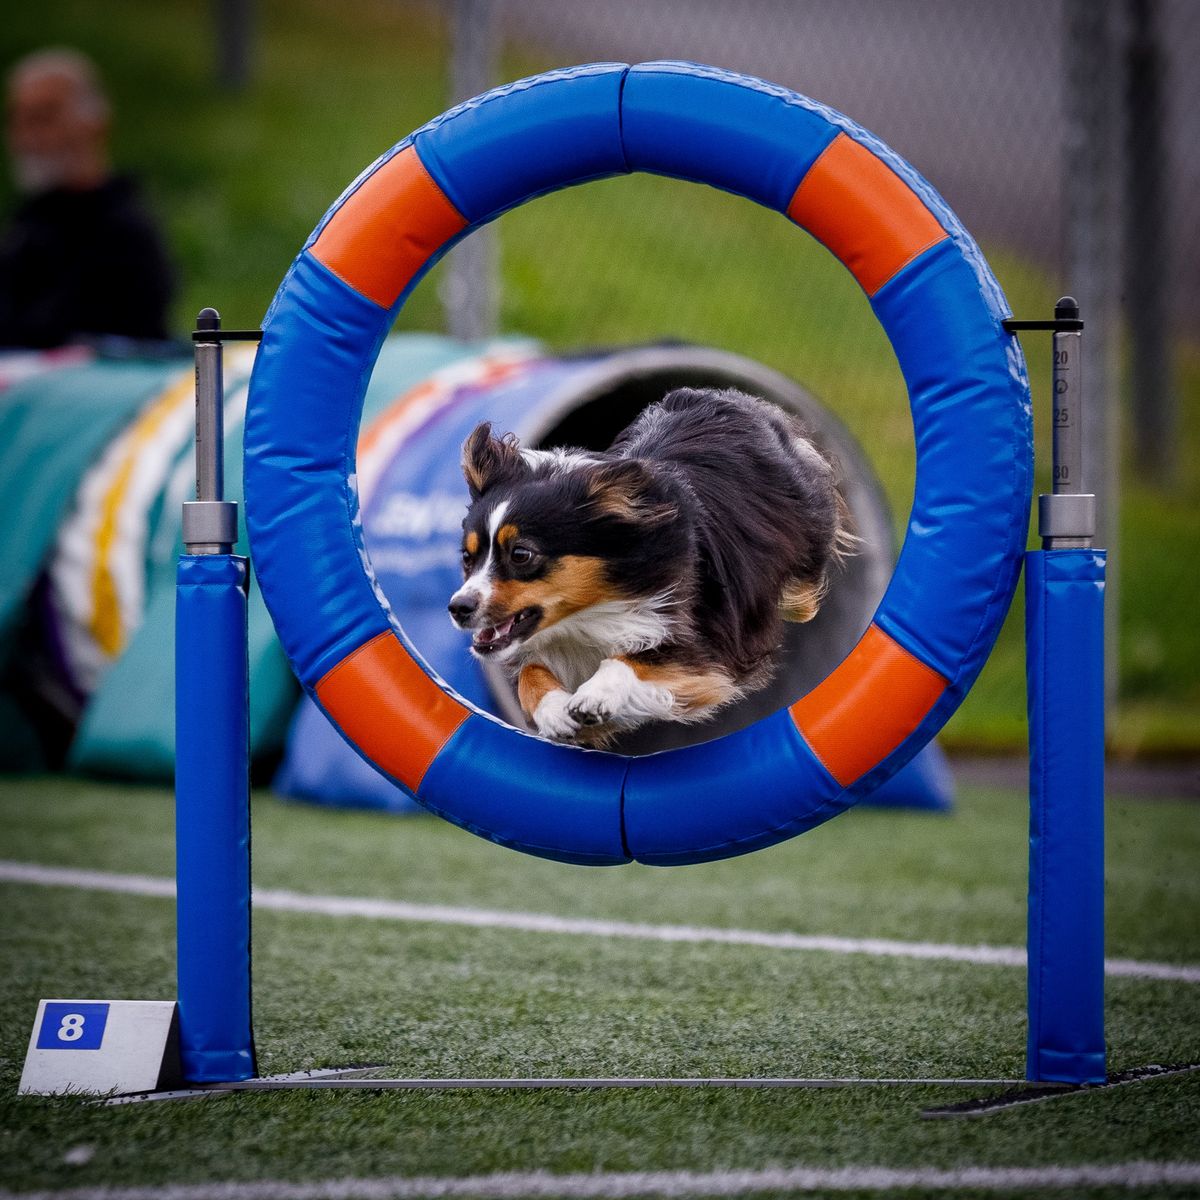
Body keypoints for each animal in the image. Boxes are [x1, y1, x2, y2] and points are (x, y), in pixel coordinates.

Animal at [451, 388, 854, 744]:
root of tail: (727, 398)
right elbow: (530, 674)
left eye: (521, 555)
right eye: (467, 557)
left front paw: (596, 695)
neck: (587, 614)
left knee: (801, 598)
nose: (458, 608)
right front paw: (553, 712)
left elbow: (631, 660)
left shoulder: (701, 647)